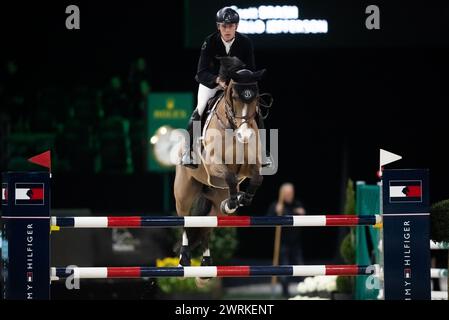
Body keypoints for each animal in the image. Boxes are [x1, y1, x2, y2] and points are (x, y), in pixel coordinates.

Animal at [174, 56, 266, 274]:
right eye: (234, 96)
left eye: (256, 98)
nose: (245, 135)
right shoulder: (215, 164)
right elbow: (230, 176)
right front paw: (234, 202)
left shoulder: (249, 165)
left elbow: (257, 178)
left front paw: (242, 198)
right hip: (183, 192)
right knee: (184, 219)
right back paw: (184, 257)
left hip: (214, 197)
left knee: (208, 224)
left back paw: (207, 264)